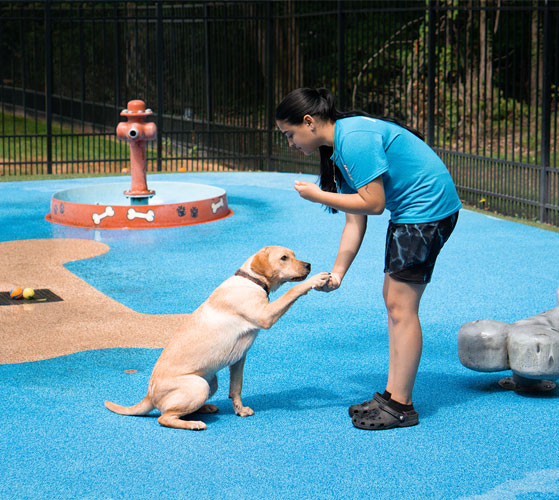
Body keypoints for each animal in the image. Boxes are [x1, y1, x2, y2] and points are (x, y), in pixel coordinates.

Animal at [106, 246, 328, 430]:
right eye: (284, 258)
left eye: (294, 255)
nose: (309, 265)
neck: (251, 280)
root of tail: (149, 395)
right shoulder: (266, 316)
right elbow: (293, 290)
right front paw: (316, 279)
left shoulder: (239, 359)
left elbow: (236, 388)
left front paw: (240, 410)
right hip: (198, 385)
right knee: (164, 417)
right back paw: (193, 423)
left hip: (211, 381)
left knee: (175, 411)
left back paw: (204, 409)